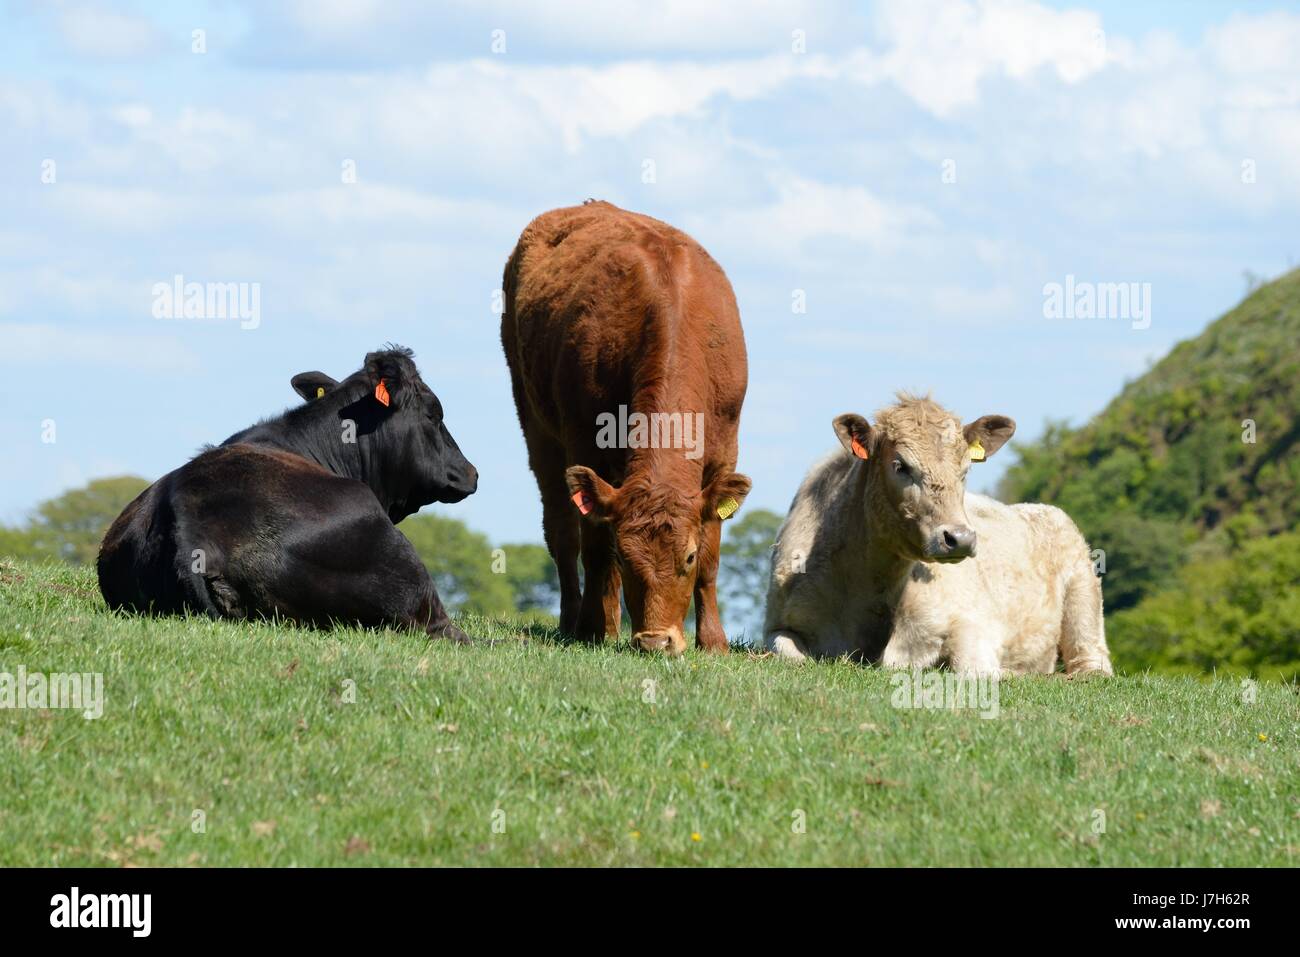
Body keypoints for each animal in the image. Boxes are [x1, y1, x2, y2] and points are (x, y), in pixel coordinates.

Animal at [501, 200, 751, 656]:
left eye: (687, 557)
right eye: (627, 554)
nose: (655, 641)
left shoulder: (725, 451)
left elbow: (713, 555)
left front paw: (713, 641)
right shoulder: (585, 442)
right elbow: (596, 551)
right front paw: (590, 630)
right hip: (535, 422)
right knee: (563, 532)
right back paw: (577, 621)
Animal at [763, 393, 1113, 676]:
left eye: (965, 470)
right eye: (900, 465)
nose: (960, 538)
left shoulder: (973, 623)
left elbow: (974, 669)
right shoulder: (778, 625)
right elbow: (787, 652)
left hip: (1084, 595)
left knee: (1093, 663)